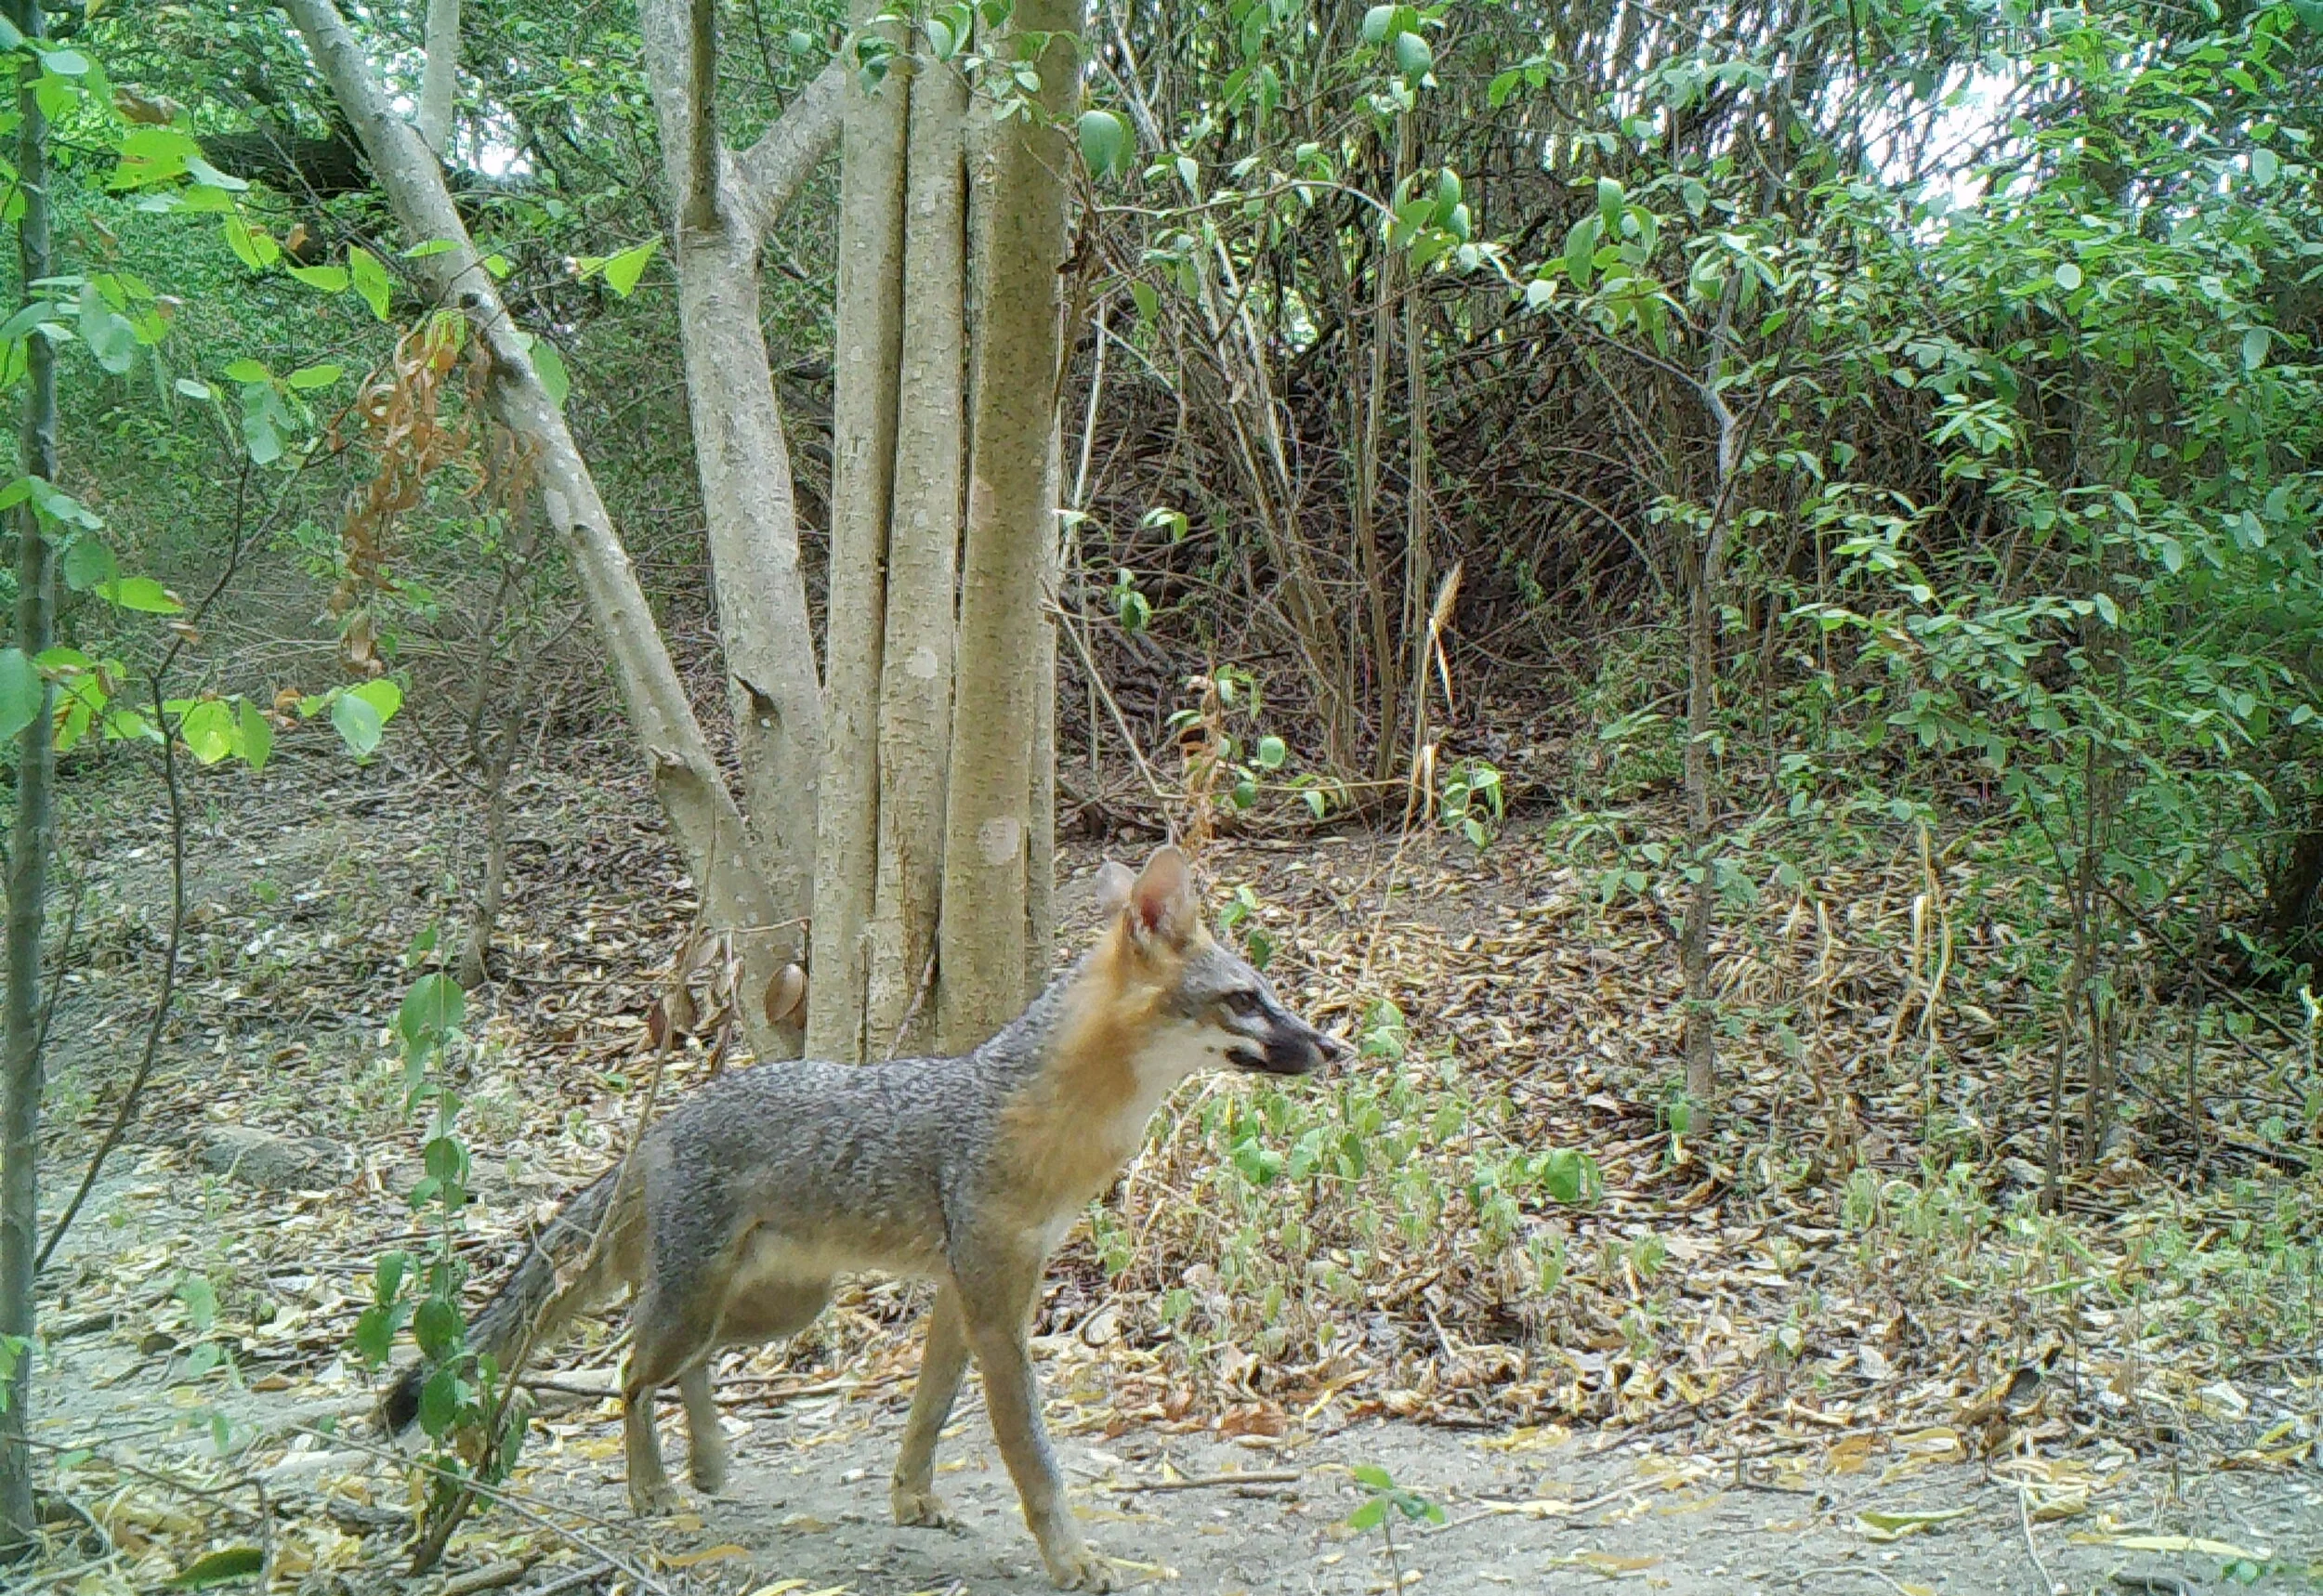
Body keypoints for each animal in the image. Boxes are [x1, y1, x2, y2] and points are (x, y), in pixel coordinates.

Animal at [377, 845, 1344, 1591]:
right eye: (1247, 1000)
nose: (1332, 1046)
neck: (1046, 1114)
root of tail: (662, 1126)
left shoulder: (967, 1296)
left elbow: (927, 1415)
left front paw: (912, 1502)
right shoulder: (996, 1306)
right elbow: (1032, 1455)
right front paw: (1072, 1561)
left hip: (775, 1309)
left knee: (684, 1367)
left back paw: (708, 1462)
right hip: (705, 1304)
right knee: (628, 1371)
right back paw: (652, 1488)